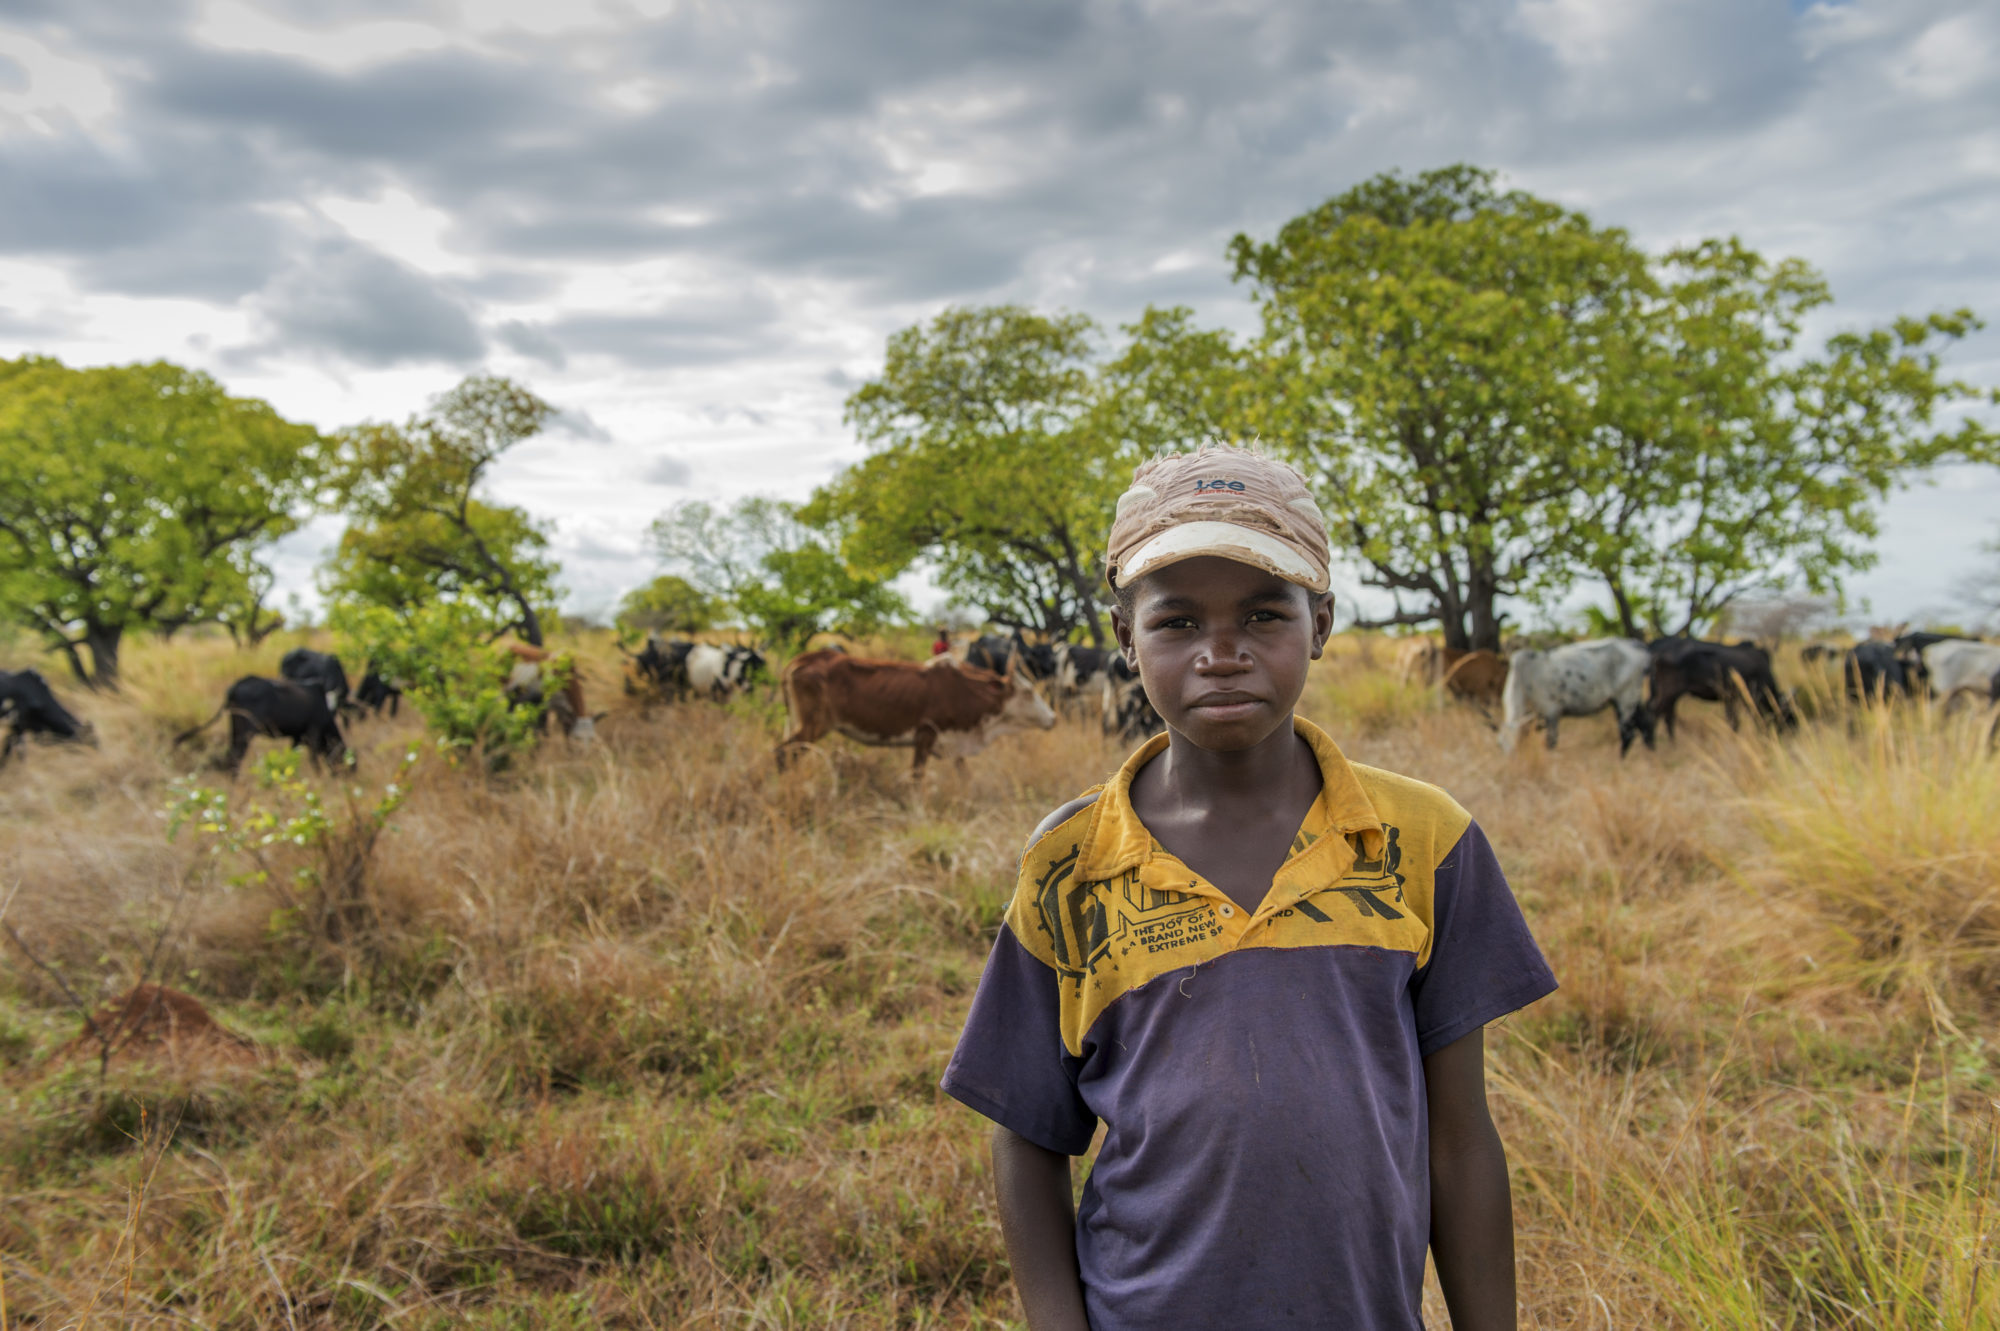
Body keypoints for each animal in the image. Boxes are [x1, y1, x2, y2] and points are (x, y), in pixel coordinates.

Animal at [176, 675, 348, 767]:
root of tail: (237, 685)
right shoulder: (313, 731)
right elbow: (313, 760)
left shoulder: (296, 737)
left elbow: (293, 757)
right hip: (246, 731)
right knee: (235, 755)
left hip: (236, 727)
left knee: (231, 754)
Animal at [776, 647, 1064, 771]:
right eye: (1028, 692)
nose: (1053, 717)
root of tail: (801, 660)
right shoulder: (925, 737)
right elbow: (917, 777)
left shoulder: (953, 744)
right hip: (813, 726)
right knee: (782, 751)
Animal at [1504, 635, 1656, 751]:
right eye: (1500, 745)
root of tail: (1637, 645)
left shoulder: (1551, 711)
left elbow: (1551, 742)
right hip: (1630, 699)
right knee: (1645, 725)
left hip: (1626, 698)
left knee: (1628, 733)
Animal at [1656, 635, 1800, 735]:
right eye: (1790, 716)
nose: (1795, 732)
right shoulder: (1744, 697)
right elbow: (1739, 720)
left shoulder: (1731, 698)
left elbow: (1735, 720)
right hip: (1669, 693)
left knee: (1667, 716)